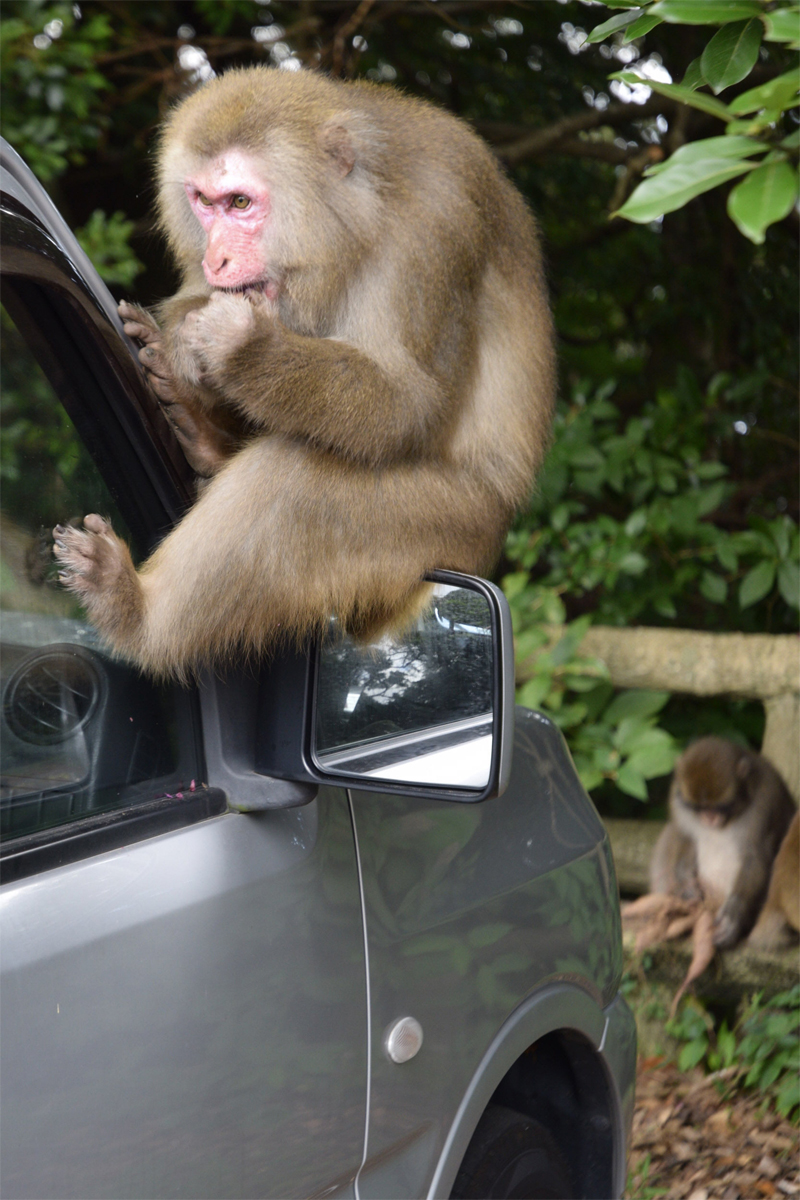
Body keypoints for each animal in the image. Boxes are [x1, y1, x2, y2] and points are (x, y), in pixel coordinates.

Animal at [52, 66, 555, 680]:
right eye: (204, 203)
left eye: (241, 202)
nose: (215, 258)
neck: (358, 216)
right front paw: (181, 344)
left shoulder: (438, 227)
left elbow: (410, 406)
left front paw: (245, 348)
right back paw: (203, 435)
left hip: (454, 524)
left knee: (295, 485)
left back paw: (134, 613)